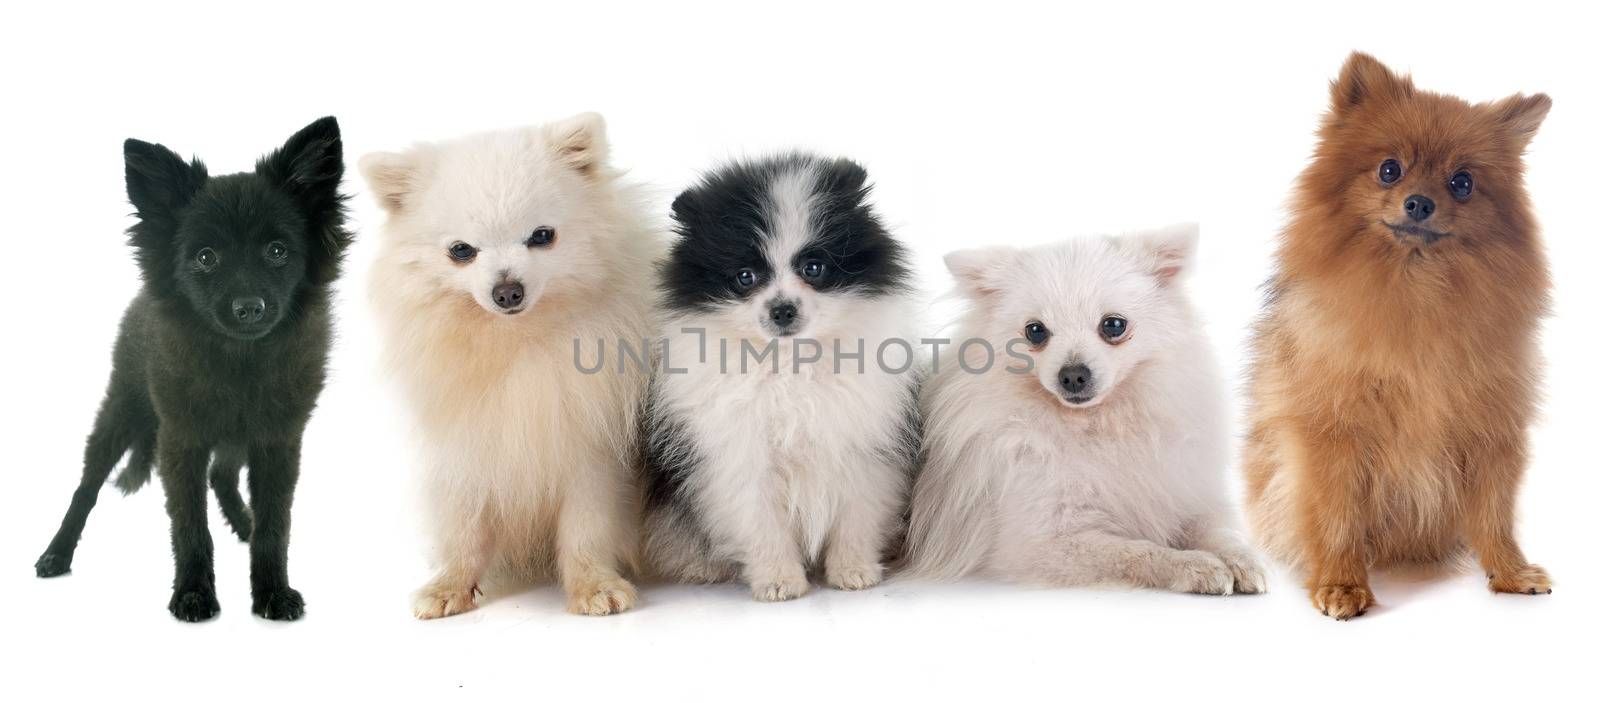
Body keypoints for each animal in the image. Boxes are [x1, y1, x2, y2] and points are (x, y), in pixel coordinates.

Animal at [31, 118, 350, 624]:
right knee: (87, 486)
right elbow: (189, 525)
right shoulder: (180, 439)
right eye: (206, 257)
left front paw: (273, 591)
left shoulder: (277, 441)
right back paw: (56, 554)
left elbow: (275, 524)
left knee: (222, 475)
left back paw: (243, 523)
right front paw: (194, 594)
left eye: (278, 251)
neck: (240, 361)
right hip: (121, 411)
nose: (248, 308)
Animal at [636, 152, 915, 598]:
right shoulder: (738, 454)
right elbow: (760, 522)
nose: (782, 309)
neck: (788, 363)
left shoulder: (864, 442)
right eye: (744, 277)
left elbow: (857, 512)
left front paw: (853, 570)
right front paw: (779, 580)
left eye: (813, 267)